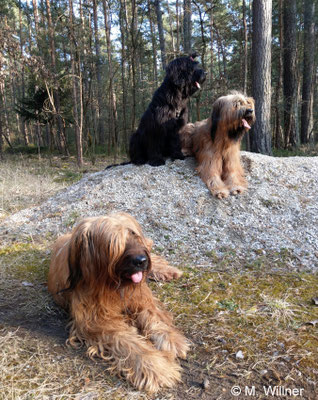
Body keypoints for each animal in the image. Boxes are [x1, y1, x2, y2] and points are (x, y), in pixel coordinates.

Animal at [48, 214, 188, 392]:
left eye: (133, 234)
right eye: (113, 243)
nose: (141, 261)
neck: (113, 286)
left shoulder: (141, 297)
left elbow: (154, 316)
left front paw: (172, 340)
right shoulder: (97, 321)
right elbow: (128, 342)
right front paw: (156, 366)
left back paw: (167, 270)